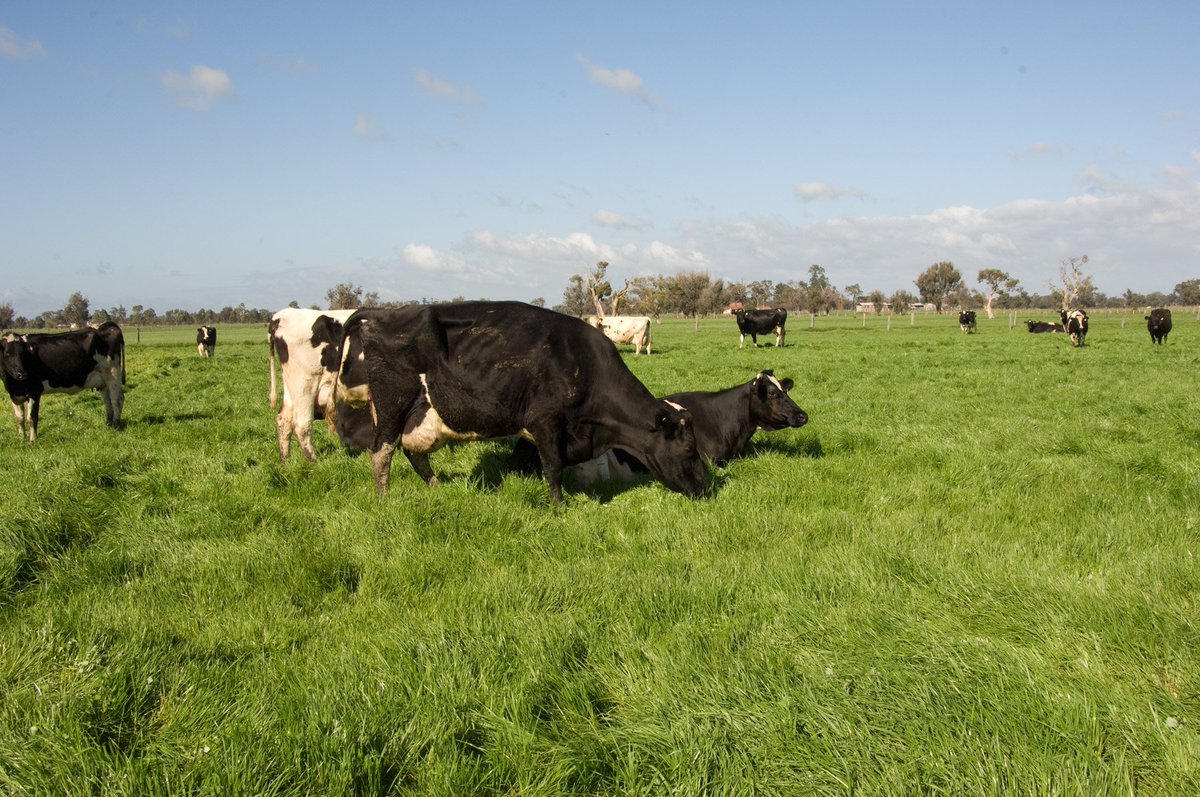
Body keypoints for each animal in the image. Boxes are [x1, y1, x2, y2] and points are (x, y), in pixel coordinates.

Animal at [267, 307, 356, 461]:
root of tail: (282, 315)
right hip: (305, 385)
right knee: (302, 424)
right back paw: (314, 461)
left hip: (292, 388)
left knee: (284, 420)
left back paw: (285, 460)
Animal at [331, 301, 710, 502]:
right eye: (690, 450)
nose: (707, 487)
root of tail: (381, 313)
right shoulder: (546, 421)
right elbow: (553, 467)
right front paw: (559, 507)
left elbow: (526, 463)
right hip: (392, 403)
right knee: (382, 451)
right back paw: (384, 497)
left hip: (422, 413)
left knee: (413, 452)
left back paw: (437, 487)